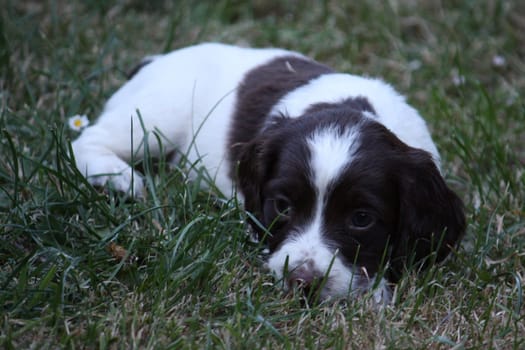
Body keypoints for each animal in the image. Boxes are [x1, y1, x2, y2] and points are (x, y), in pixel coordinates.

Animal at [71, 42, 464, 302]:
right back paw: (117, 178)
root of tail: (156, 60)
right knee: (88, 138)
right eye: (283, 207)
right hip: (157, 115)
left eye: (362, 219)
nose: (301, 282)